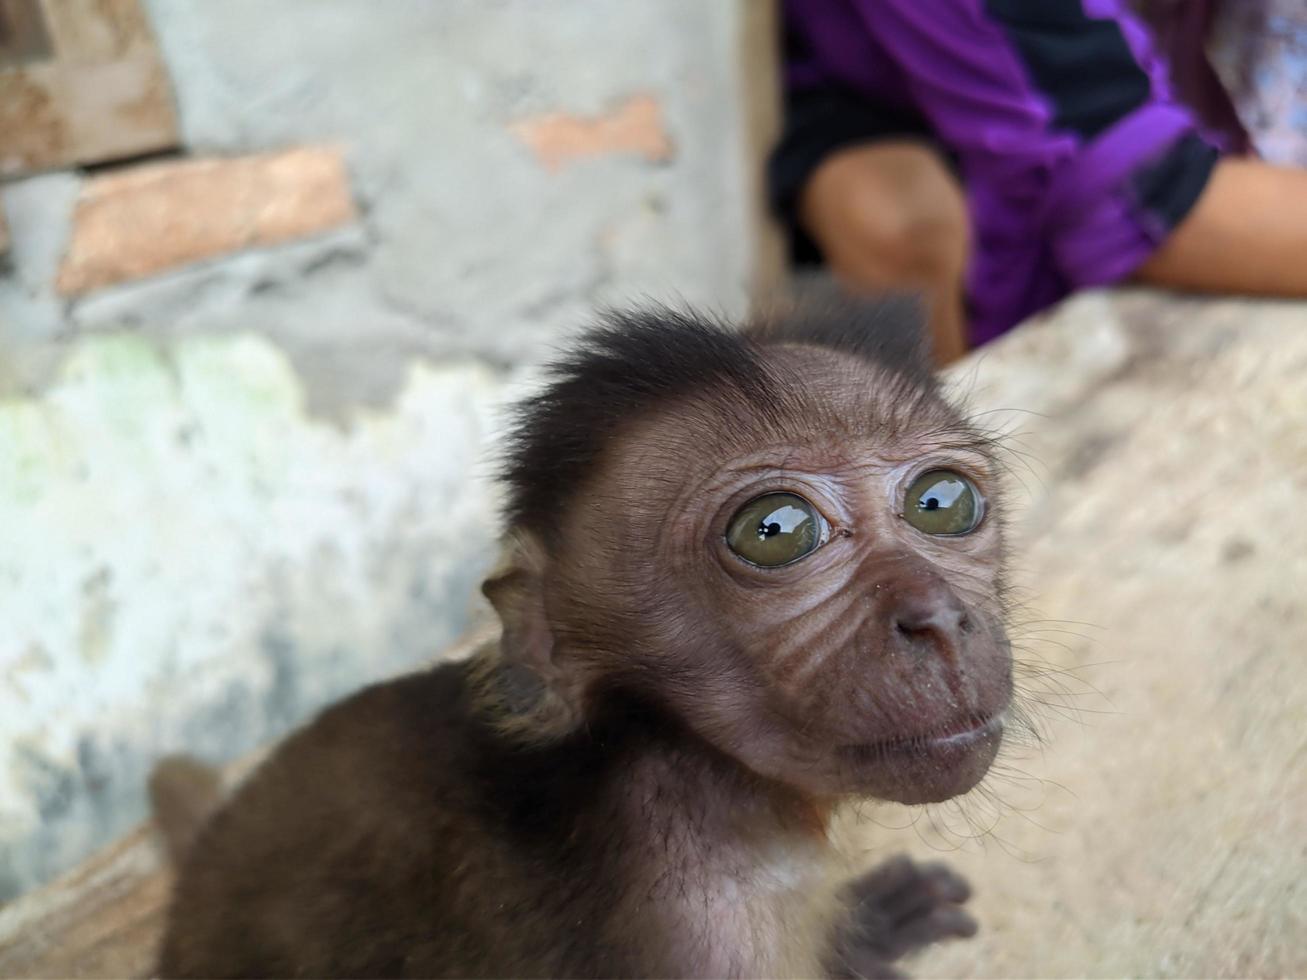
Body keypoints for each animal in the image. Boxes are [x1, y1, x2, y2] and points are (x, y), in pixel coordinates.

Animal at [158, 303, 1014, 977]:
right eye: (773, 530)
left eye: (942, 501)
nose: (937, 618)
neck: (674, 756)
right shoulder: (701, 926)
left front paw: (863, 935)